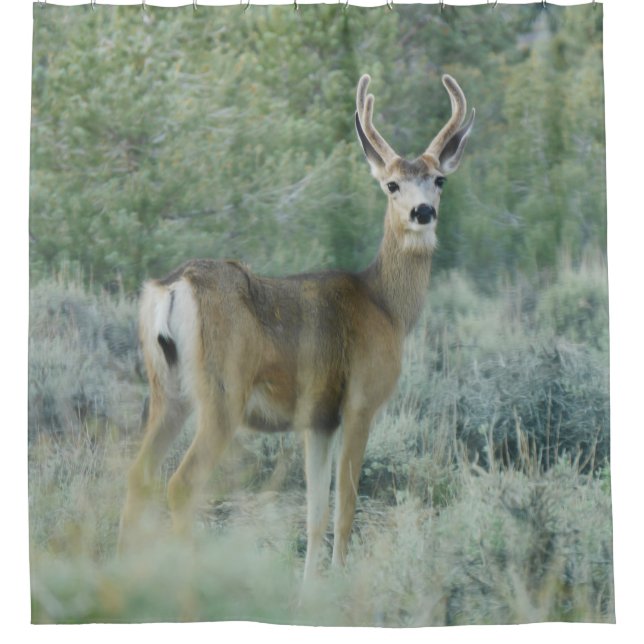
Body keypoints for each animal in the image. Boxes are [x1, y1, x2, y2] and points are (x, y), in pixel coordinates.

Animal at [118, 73, 474, 584]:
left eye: (439, 179)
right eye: (391, 184)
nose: (422, 211)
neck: (386, 306)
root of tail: (171, 286)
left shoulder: (318, 418)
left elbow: (315, 513)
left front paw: (310, 587)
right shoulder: (361, 399)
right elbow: (346, 507)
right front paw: (340, 582)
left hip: (167, 389)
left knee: (138, 474)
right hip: (223, 391)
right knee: (181, 483)